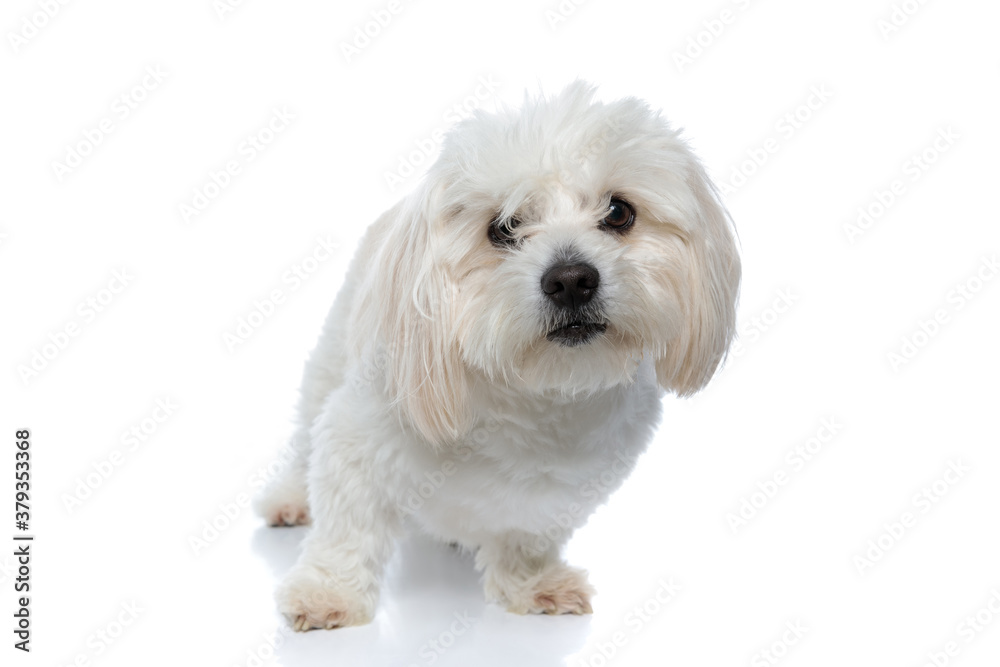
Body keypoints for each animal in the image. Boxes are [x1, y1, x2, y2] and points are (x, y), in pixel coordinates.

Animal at [256, 83, 744, 632]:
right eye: (504, 227)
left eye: (619, 213)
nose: (571, 279)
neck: (531, 393)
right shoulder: (360, 437)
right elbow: (348, 525)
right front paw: (327, 593)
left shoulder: (560, 491)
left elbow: (525, 536)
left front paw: (532, 583)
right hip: (331, 359)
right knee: (305, 436)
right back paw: (288, 499)